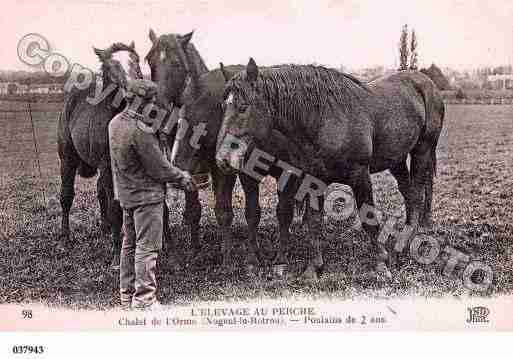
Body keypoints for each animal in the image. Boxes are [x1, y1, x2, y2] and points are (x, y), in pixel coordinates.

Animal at [57, 41, 141, 268]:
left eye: (136, 60)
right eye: (112, 65)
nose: (133, 92)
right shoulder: (107, 167)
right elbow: (115, 207)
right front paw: (117, 256)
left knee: (100, 191)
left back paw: (104, 227)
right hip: (67, 159)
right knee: (66, 196)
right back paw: (65, 238)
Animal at [216, 59, 444, 282]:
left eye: (243, 107)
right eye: (223, 106)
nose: (222, 158)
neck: (324, 120)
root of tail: (426, 82)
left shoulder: (360, 175)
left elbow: (369, 219)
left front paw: (381, 265)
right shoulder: (314, 180)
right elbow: (314, 221)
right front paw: (313, 269)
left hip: (422, 150)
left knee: (416, 193)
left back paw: (406, 243)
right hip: (396, 159)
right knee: (408, 192)